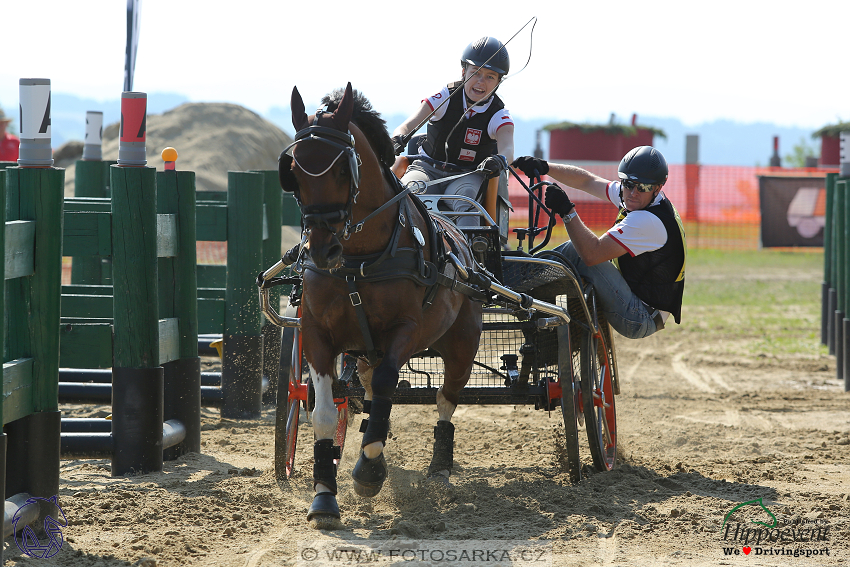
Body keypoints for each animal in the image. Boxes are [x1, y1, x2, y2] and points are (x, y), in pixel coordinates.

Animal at [282, 83, 484, 528]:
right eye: (294, 173)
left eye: (344, 170)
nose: (321, 250)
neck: (358, 259)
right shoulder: (316, 334)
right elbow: (324, 411)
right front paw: (324, 495)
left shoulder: (405, 330)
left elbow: (391, 382)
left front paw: (370, 470)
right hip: (363, 351)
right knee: (374, 392)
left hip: (462, 345)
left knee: (445, 398)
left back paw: (439, 468)